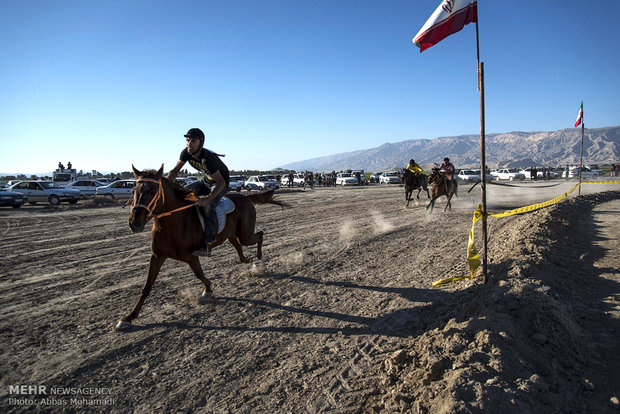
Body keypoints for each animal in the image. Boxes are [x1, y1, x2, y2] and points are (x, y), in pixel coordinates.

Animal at [116, 165, 286, 330]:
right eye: (134, 191)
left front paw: (208, 289)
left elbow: (199, 273)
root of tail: (245, 197)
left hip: (245, 234)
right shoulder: (157, 256)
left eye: (152, 191)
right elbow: (147, 286)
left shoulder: (191, 255)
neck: (173, 223)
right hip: (232, 235)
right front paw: (128, 318)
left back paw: (260, 257)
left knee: (259, 235)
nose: (135, 223)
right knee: (239, 247)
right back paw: (247, 260)